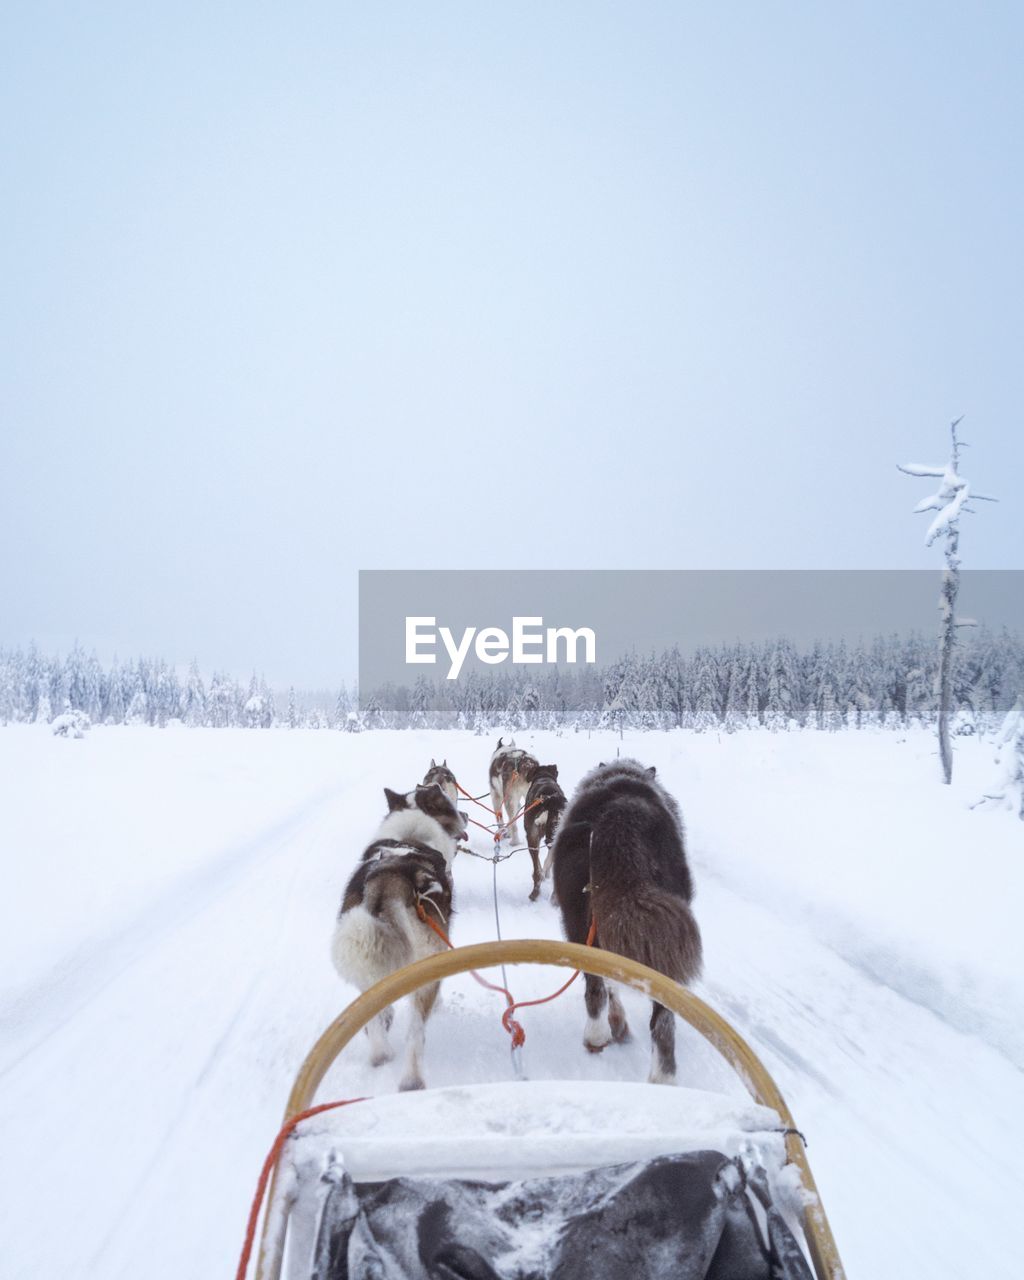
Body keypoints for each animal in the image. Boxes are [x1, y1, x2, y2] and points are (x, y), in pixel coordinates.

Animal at [330, 778, 465, 1090]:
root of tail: (390, 879)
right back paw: (412, 1080)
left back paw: (381, 1053)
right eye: (450, 805)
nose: (465, 815)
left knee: (374, 1019)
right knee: (415, 1033)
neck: (410, 838)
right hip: (424, 967)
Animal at [552, 762, 706, 1085]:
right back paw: (663, 1077)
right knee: (663, 1019)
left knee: (596, 988)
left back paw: (598, 1036)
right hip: (662, 945)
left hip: (579, 927)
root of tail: (621, 817)